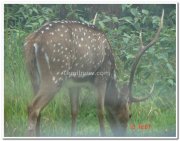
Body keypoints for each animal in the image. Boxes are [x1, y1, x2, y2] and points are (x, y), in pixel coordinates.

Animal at [24, 10, 165, 136]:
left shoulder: (74, 84)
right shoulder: (102, 77)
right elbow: (100, 112)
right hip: (55, 74)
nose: (122, 134)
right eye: (130, 115)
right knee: (33, 107)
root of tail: (33, 41)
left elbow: (74, 111)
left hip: (34, 76)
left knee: (38, 110)